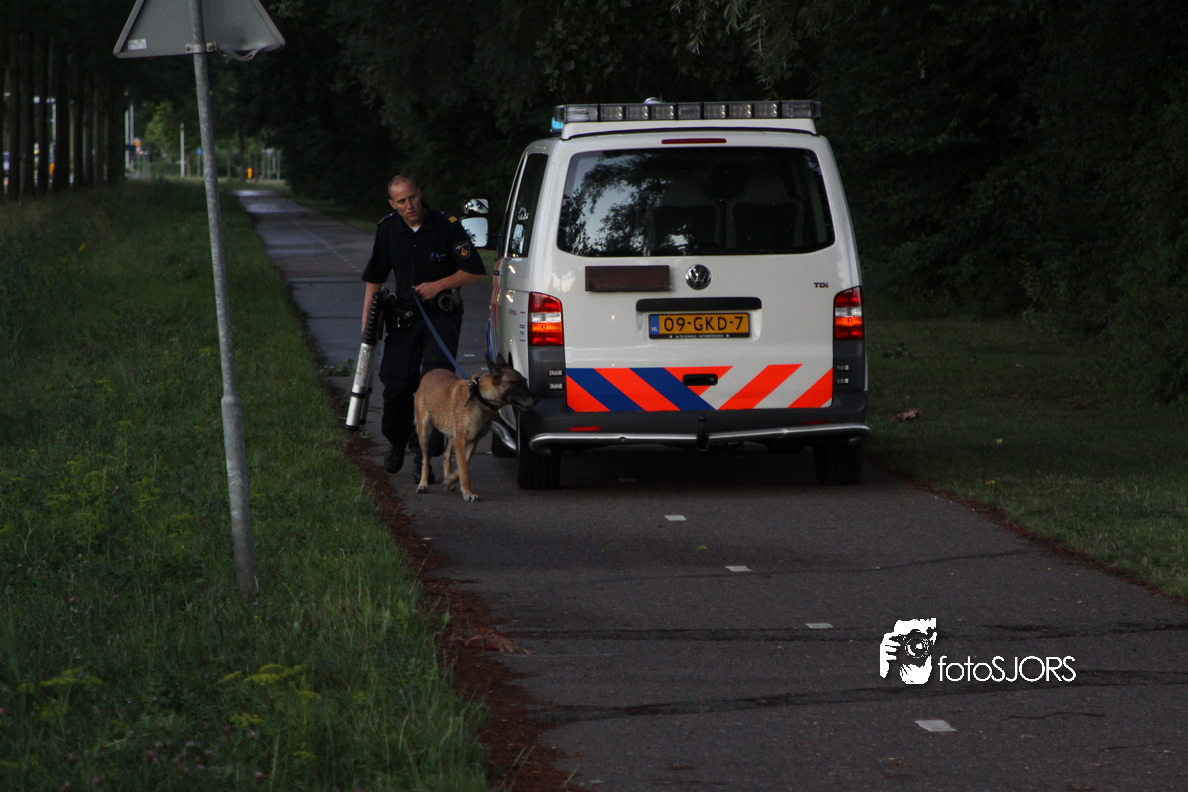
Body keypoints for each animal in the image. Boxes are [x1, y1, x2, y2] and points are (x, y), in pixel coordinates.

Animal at [413, 355, 537, 502]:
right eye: (516, 383)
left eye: (525, 381)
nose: (537, 400)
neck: (480, 397)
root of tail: (430, 373)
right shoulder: (460, 441)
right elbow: (463, 469)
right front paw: (468, 493)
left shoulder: (471, 441)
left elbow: (463, 465)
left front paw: (450, 480)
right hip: (424, 432)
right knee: (425, 458)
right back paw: (423, 484)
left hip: (451, 435)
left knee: (446, 454)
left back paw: (447, 477)